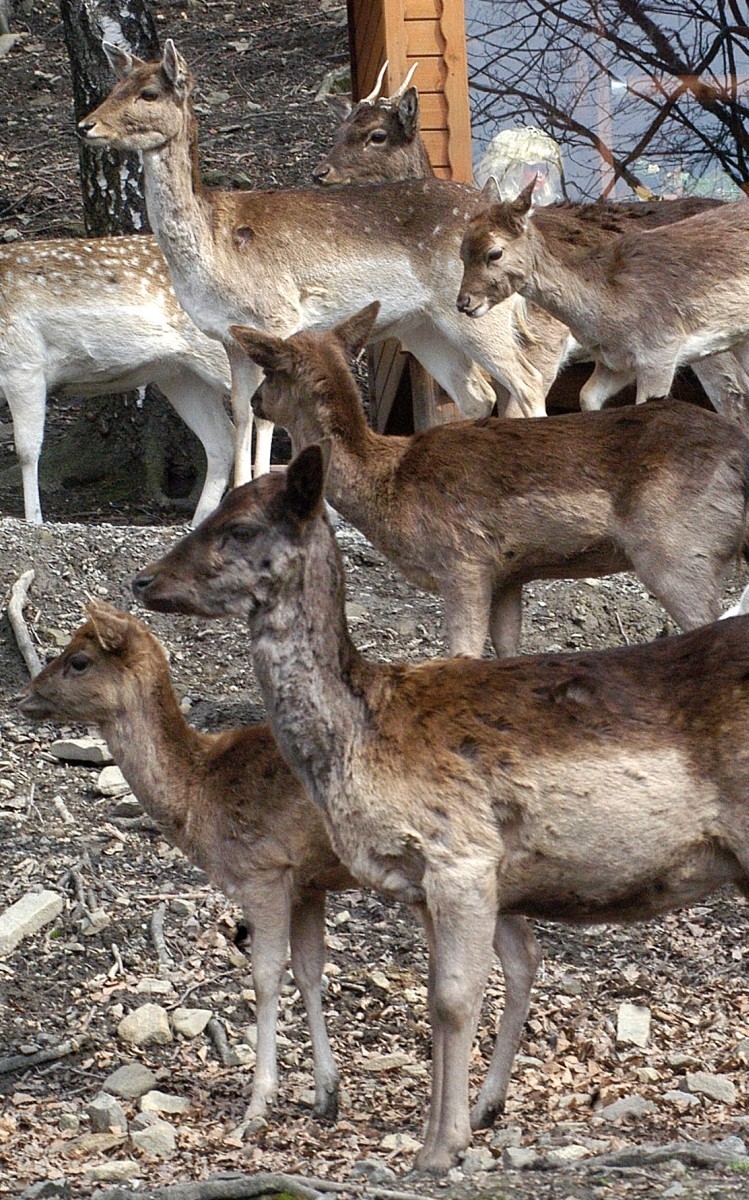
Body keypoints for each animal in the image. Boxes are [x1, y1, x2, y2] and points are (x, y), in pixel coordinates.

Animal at [0, 238, 234, 525]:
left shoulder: (23, 363)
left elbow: (27, 450)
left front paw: (34, 519)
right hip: (181, 376)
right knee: (222, 439)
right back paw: (199, 521)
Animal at [16, 604, 357, 1128]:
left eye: (78, 660)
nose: (23, 695)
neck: (197, 794)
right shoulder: (308, 882)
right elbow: (309, 971)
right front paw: (326, 1095)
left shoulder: (264, 870)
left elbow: (265, 977)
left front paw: (257, 1105)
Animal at [131, 444, 749, 1171]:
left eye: (242, 527)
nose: (144, 579)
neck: (361, 736)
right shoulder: (417, 881)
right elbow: (434, 998)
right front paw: (438, 1135)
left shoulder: (460, 855)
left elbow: (455, 999)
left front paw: (439, 1150)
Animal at [231, 300, 749, 657]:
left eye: (268, 371)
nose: (255, 400)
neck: (388, 485)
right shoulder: (507, 575)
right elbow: (507, 653)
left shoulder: (462, 561)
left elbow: (461, 654)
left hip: (677, 550)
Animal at [456, 175, 749, 415]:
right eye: (461, 251)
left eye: (495, 253)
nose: (463, 302)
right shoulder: (616, 363)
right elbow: (587, 396)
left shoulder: (660, 349)